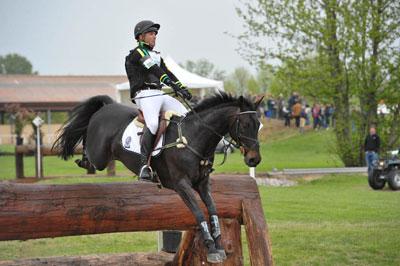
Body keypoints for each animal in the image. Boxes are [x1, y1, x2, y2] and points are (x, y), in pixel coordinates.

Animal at [52, 92, 262, 262]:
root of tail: (107, 106)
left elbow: (212, 210)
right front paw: (211, 247)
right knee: (88, 147)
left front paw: (218, 244)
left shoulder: (202, 184)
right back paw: (83, 160)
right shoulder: (182, 185)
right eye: (244, 125)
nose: (254, 159)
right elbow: (199, 212)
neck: (194, 138)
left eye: (258, 125)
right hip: (100, 155)